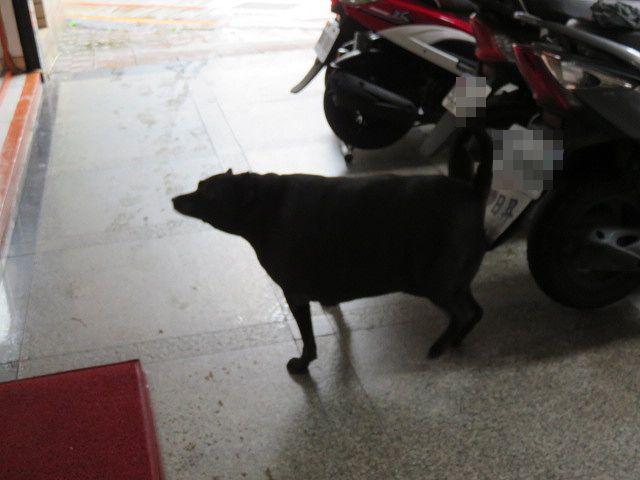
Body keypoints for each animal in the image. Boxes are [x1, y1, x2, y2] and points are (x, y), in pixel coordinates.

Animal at [173, 158, 491, 374]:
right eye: (198, 186)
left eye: (208, 195)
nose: (175, 199)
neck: (265, 205)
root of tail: (474, 192)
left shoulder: (295, 295)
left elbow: (308, 339)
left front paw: (303, 363)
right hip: (455, 282)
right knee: (476, 311)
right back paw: (456, 341)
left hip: (434, 283)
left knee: (463, 313)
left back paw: (439, 346)